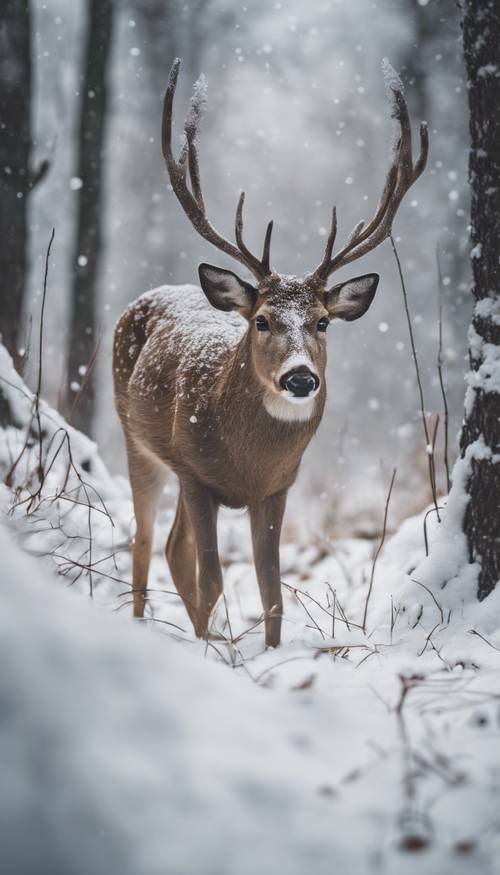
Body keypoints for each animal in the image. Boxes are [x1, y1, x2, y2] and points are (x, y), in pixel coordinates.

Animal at [115, 58, 428, 648]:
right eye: (261, 320)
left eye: (323, 322)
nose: (300, 378)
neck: (247, 463)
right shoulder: (195, 472)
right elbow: (213, 579)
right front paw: (210, 653)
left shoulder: (278, 487)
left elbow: (271, 591)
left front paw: (263, 650)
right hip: (138, 441)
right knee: (145, 546)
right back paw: (144, 626)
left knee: (171, 547)